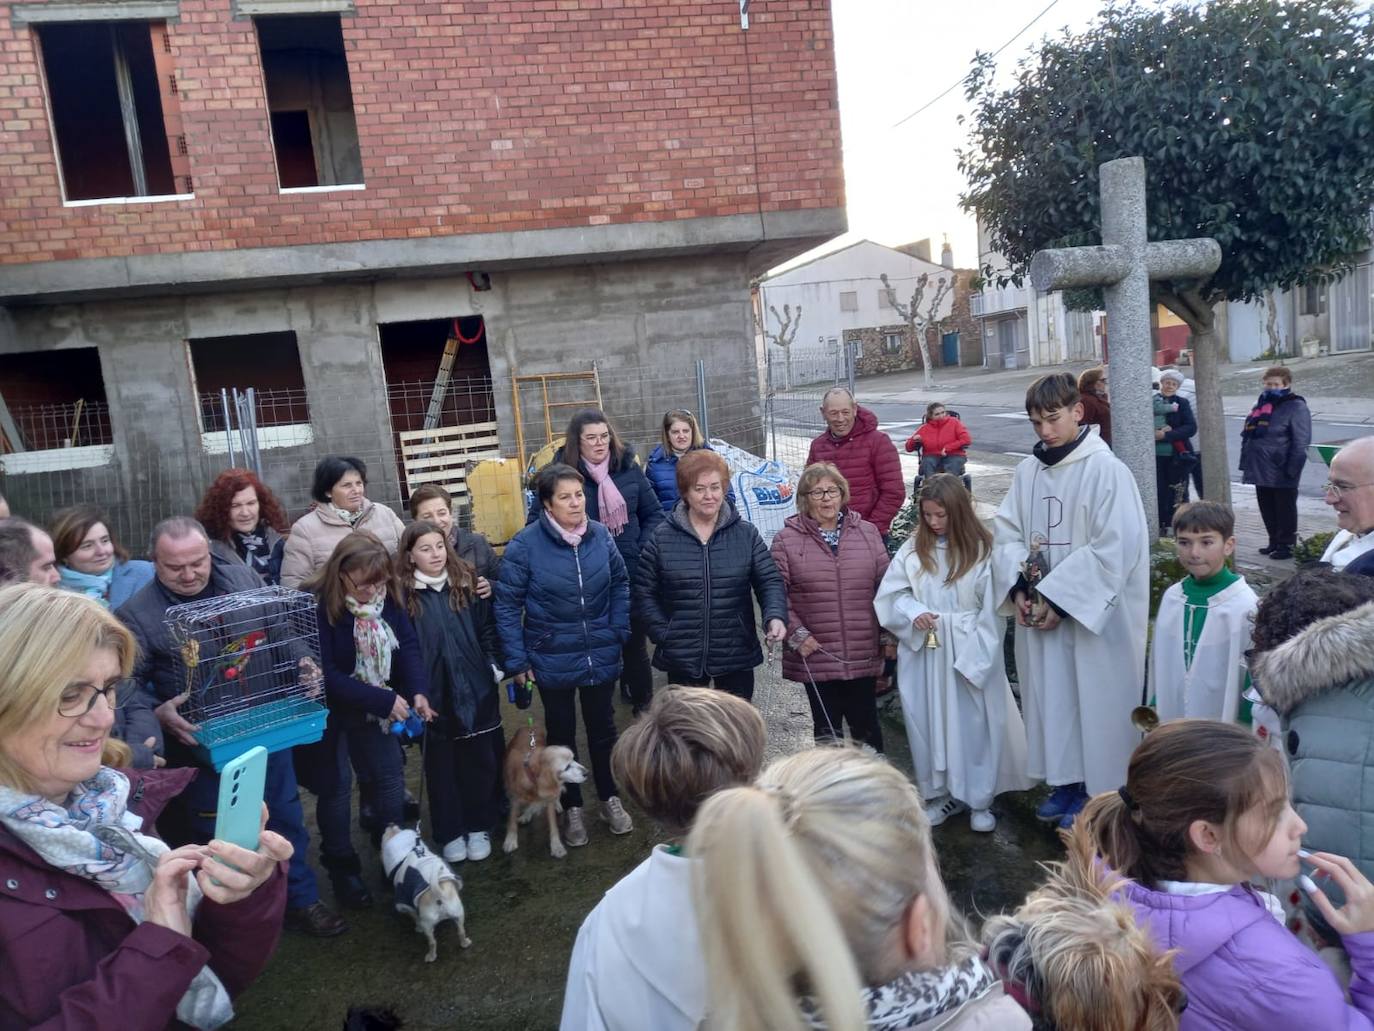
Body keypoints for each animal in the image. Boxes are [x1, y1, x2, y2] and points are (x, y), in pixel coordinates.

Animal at [381, 830, 472, 967]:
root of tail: (439, 894)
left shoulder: (406, 904)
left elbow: (414, 916)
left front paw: (417, 927)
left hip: (427, 925)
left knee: (432, 942)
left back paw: (431, 956)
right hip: (458, 913)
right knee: (461, 931)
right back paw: (464, 943)